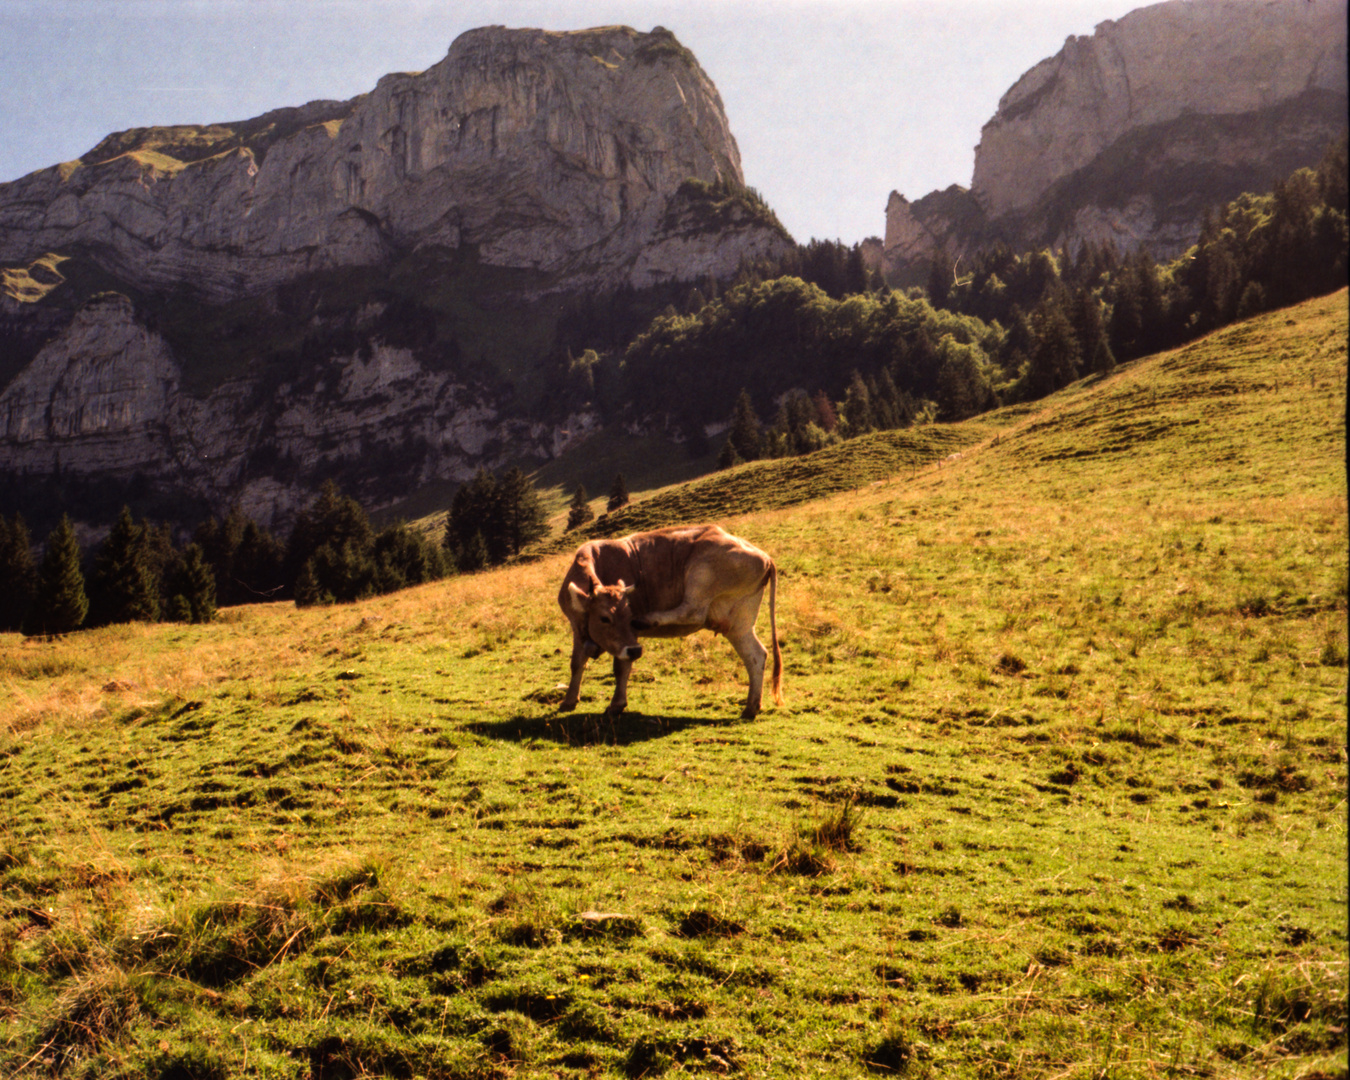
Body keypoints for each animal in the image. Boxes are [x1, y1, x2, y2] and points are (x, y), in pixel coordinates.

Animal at [553, 523, 783, 718]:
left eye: (628, 615)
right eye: (604, 618)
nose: (635, 650)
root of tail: (765, 557)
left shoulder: (629, 637)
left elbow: (621, 666)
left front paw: (616, 704)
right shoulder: (577, 629)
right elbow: (576, 663)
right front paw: (568, 701)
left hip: (700, 574)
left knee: (693, 611)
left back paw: (649, 619)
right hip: (738, 622)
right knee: (756, 656)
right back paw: (751, 707)